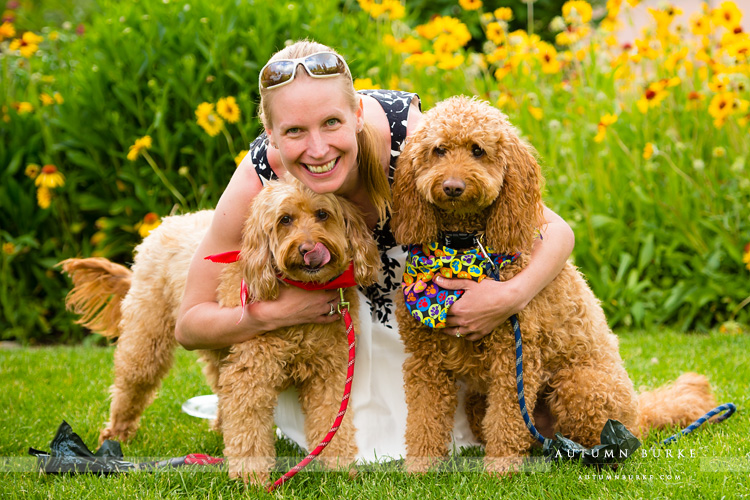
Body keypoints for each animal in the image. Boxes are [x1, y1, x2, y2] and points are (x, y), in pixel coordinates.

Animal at [61, 177, 382, 484]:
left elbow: (331, 422)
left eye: (322, 214)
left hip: (219, 351)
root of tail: (167, 222)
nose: (308, 249)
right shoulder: (252, 373)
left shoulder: (329, 374)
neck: (302, 288)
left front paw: (339, 469)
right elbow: (249, 427)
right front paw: (251, 478)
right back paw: (117, 433)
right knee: (133, 383)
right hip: (148, 337)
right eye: (285, 220)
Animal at [390, 96, 720, 472]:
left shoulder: (514, 359)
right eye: (438, 150)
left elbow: (506, 420)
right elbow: (424, 419)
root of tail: (638, 411)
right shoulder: (424, 361)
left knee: (605, 441)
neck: (462, 250)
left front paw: (500, 470)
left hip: (580, 386)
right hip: (479, 400)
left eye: (478, 150)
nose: (453, 187)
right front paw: (419, 469)